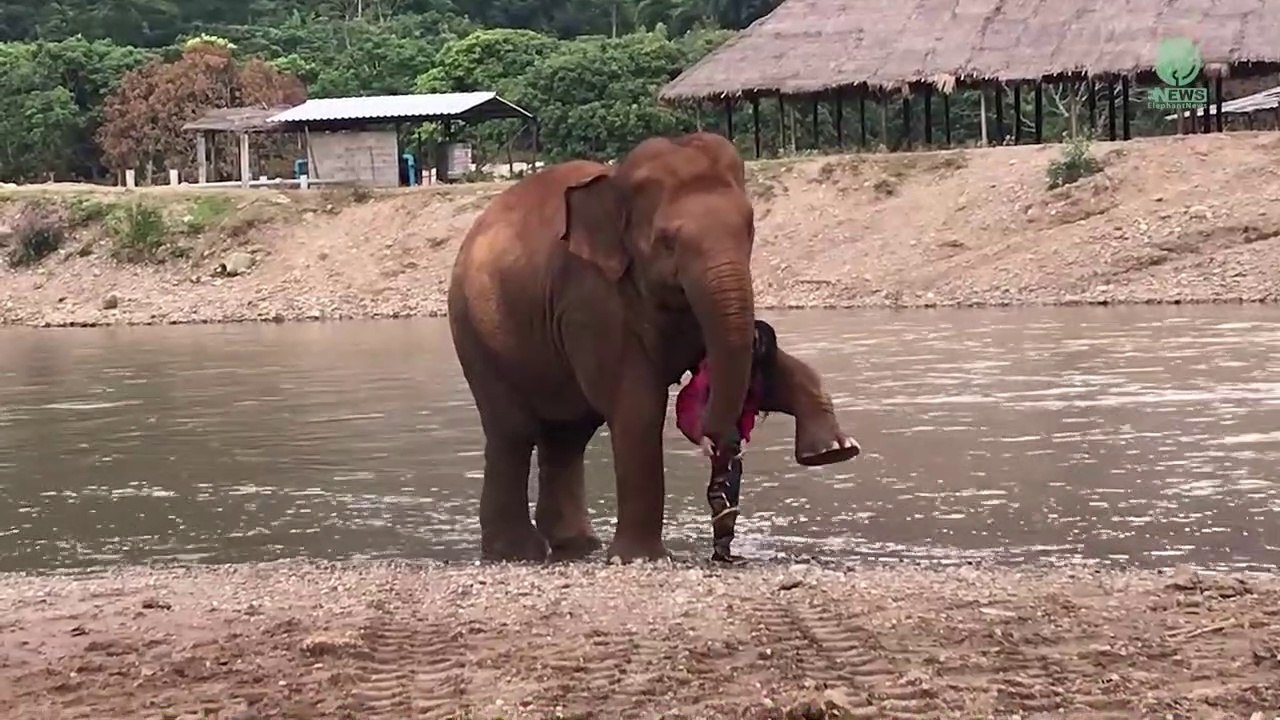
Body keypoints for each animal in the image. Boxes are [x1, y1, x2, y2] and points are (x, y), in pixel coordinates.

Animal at [447, 131, 860, 563]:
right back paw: (516, 552)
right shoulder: (589, 298)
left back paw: (577, 546)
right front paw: (640, 558)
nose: (722, 446)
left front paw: (834, 451)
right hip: (476, 334)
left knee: (566, 436)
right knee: (512, 432)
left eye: (749, 229)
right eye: (667, 242)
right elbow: (637, 405)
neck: (615, 181)